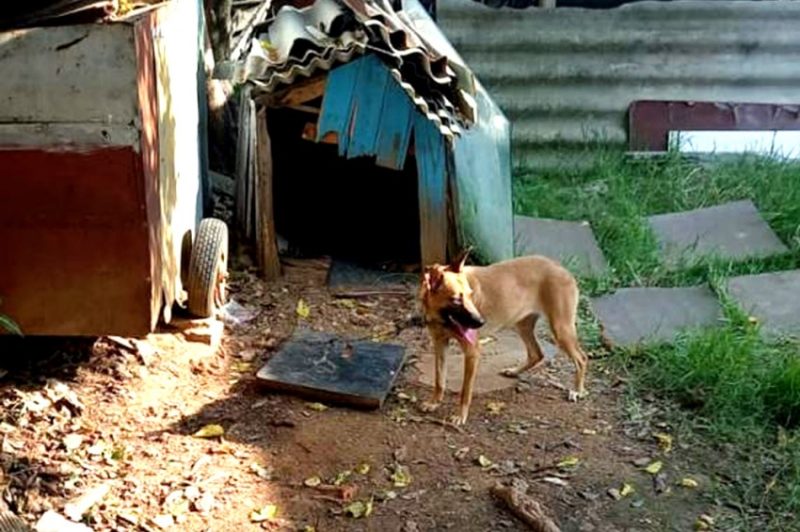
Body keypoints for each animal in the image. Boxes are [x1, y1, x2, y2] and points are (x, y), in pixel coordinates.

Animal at [418, 251, 588, 426]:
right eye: (456, 299)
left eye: (471, 295)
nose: (481, 322)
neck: (442, 319)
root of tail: (561, 268)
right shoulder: (440, 345)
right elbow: (439, 380)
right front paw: (434, 403)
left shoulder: (472, 351)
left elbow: (465, 391)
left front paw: (460, 416)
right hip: (522, 326)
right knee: (536, 354)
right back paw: (514, 371)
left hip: (561, 329)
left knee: (581, 358)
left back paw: (578, 391)